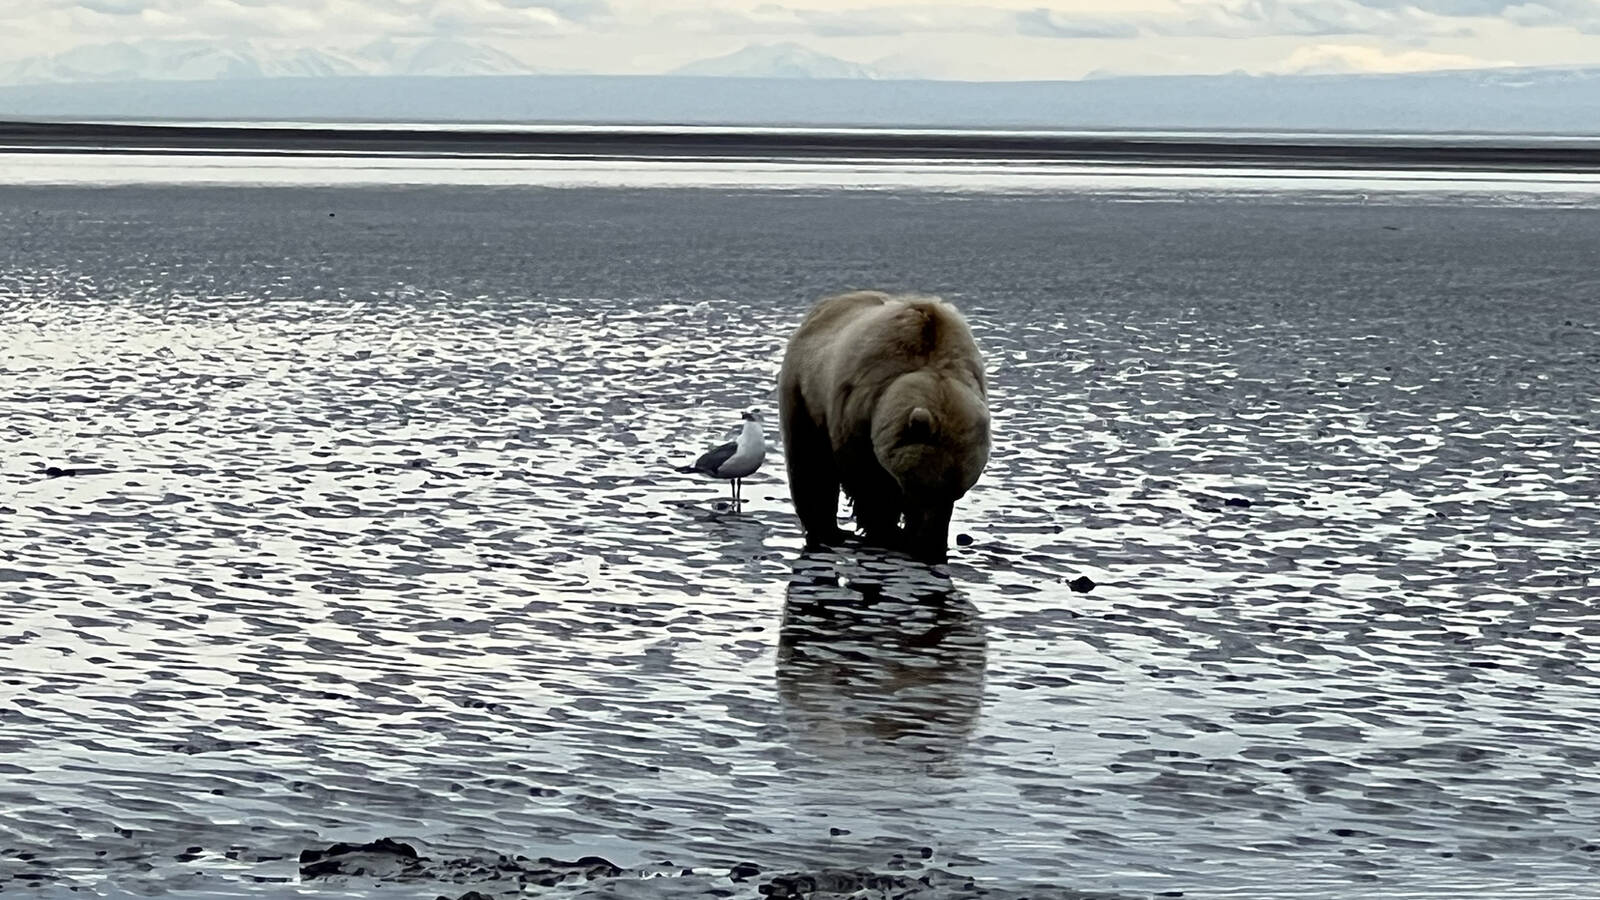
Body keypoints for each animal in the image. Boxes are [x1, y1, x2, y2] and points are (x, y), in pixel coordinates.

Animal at [777, 290, 991, 563]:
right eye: (923, 488)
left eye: (958, 492)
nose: (930, 545)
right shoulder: (859, 411)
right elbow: (870, 484)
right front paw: (886, 531)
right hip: (805, 391)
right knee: (810, 465)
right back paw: (827, 530)